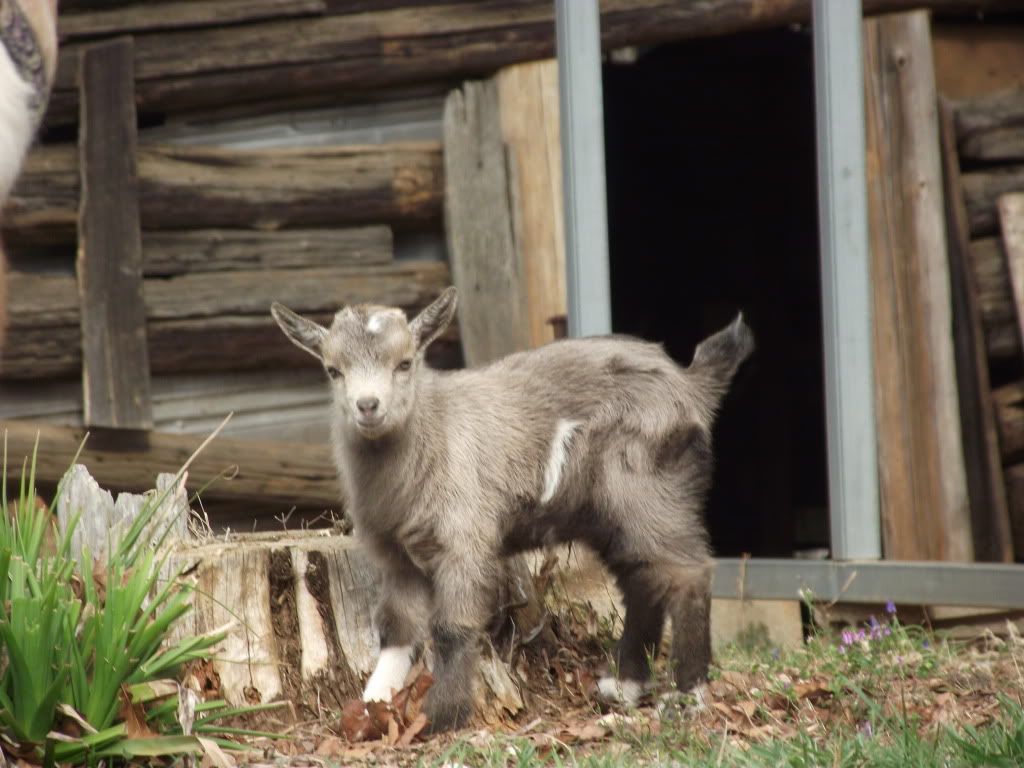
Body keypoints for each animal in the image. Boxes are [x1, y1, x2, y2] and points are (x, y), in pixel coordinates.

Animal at [272, 287, 753, 731]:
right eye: (333, 370)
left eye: (405, 363)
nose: (367, 406)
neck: (435, 428)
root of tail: (691, 383)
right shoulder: (396, 555)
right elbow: (396, 627)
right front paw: (373, 702)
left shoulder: (464, 540)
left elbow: (451, 627)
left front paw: (441, 716)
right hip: (613, 514)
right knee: (642, 578)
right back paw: (625, 685)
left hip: (649, 491)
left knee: (686, 573)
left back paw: (687, 696)